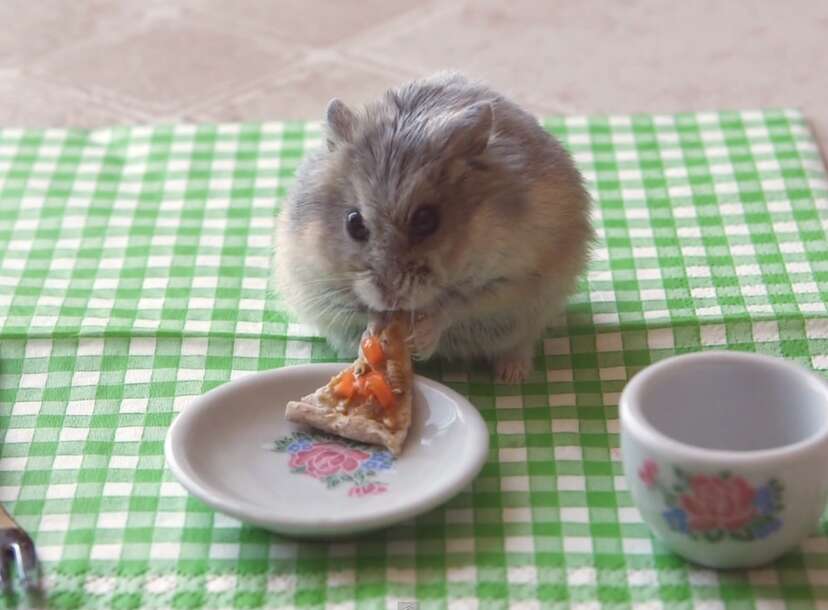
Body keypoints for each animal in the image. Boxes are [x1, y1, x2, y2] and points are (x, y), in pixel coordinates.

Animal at [273, 72, 592, 383]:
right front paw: (373, 335)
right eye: (354, 223)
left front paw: (420, 340)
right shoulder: (317, 282)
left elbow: (453, 308)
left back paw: (511, 376)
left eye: (427, 220)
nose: (390, 298)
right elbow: (367, 314)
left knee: (520, 345)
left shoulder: (511, 281)